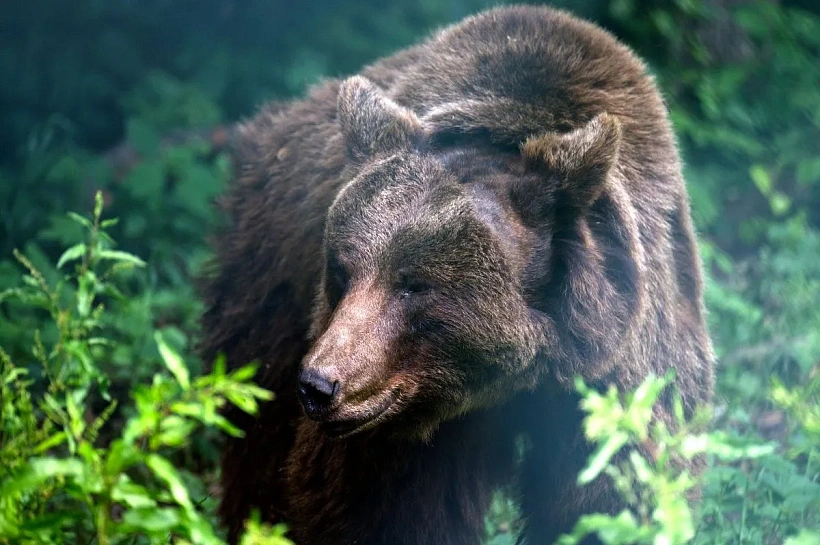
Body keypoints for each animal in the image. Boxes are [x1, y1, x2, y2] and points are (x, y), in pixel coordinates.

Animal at [198, 5, 715, 545]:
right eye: (343, 269)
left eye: (414, 285)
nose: (321, 384)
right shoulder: (394, 428)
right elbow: (378, 511)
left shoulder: (613, 373)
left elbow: (609, 499)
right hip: (270, 279)